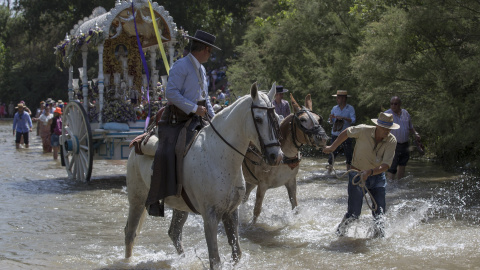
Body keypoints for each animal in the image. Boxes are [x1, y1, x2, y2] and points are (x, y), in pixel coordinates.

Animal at [124, 83, 284, 268]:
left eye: (276, 117)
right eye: (258, 119)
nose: (276, 156)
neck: (220, 155)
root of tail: (138, 142)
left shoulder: (231, 211)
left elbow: (236, 253)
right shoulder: (210, 216)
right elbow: (215, 259)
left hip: (180, 206)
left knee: (174, 232)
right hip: (137, 199)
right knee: (130, 233)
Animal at [242, 94, 328, 223]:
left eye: (318, 119)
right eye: (302, 120)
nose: (323, 138)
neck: (283, 157)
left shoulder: (291, 182)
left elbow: (295, 207)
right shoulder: (262, 185)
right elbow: (256, 211)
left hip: (250, 181)